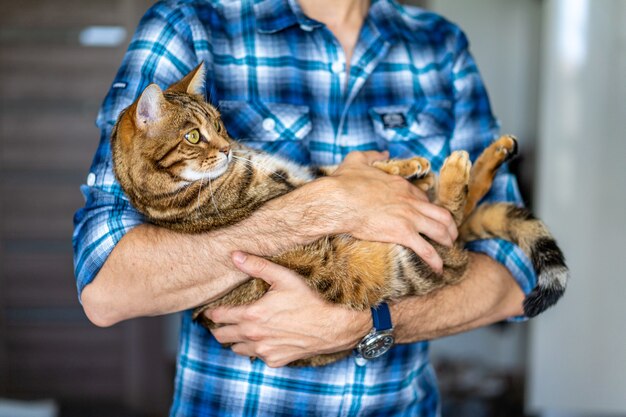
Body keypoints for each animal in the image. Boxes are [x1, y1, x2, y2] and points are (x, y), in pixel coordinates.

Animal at [111, 63, 564, 366]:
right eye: (192, 136)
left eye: (220, 125)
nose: (226, 148)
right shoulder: (286, 191)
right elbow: (335, 182)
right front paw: (413, 174)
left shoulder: (304, 172)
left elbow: (339, 169)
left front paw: (406, 167)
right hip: (410, 265)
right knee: (451, 227)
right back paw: (456, 171)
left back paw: (491, 154)